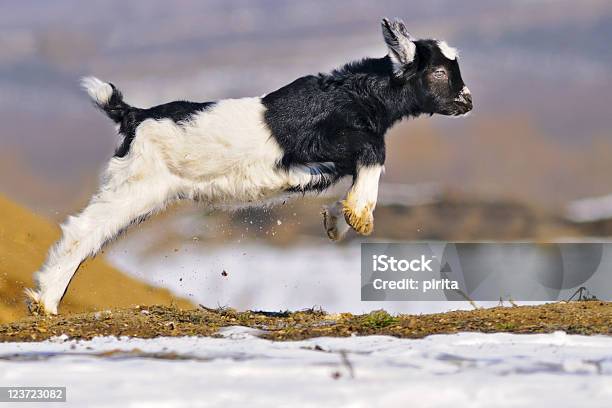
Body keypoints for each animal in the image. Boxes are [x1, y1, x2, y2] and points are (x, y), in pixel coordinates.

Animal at [26, 17, 474, 314]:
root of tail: (135, 115)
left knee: (92, 233)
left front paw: (336, 221)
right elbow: (375, 151)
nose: (467, 102)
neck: (355, 94)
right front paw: (358, 215)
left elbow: (350, 171)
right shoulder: (325, 142)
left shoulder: (322, 164)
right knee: (81, 231)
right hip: (134, 183)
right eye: (438, 70)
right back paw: (45, 302)